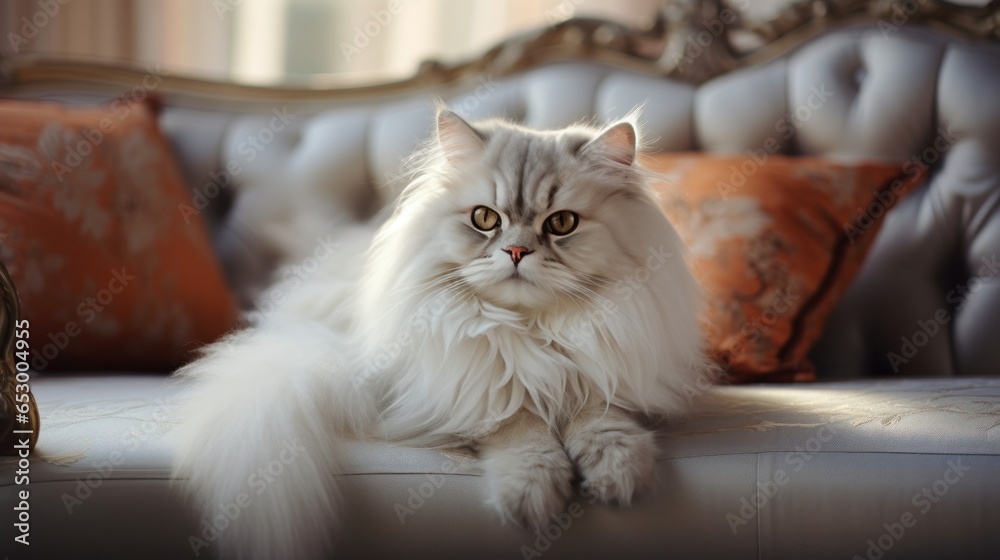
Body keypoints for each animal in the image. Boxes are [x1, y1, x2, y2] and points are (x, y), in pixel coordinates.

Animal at [178, 107, 712, 556]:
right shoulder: (474, 389)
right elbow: (519, 426)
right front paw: (533, 494)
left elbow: (599, 413)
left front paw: (620, 473)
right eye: (485, 219)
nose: (516, 252)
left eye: (562, 223)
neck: (530, 330)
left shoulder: (604, 370)